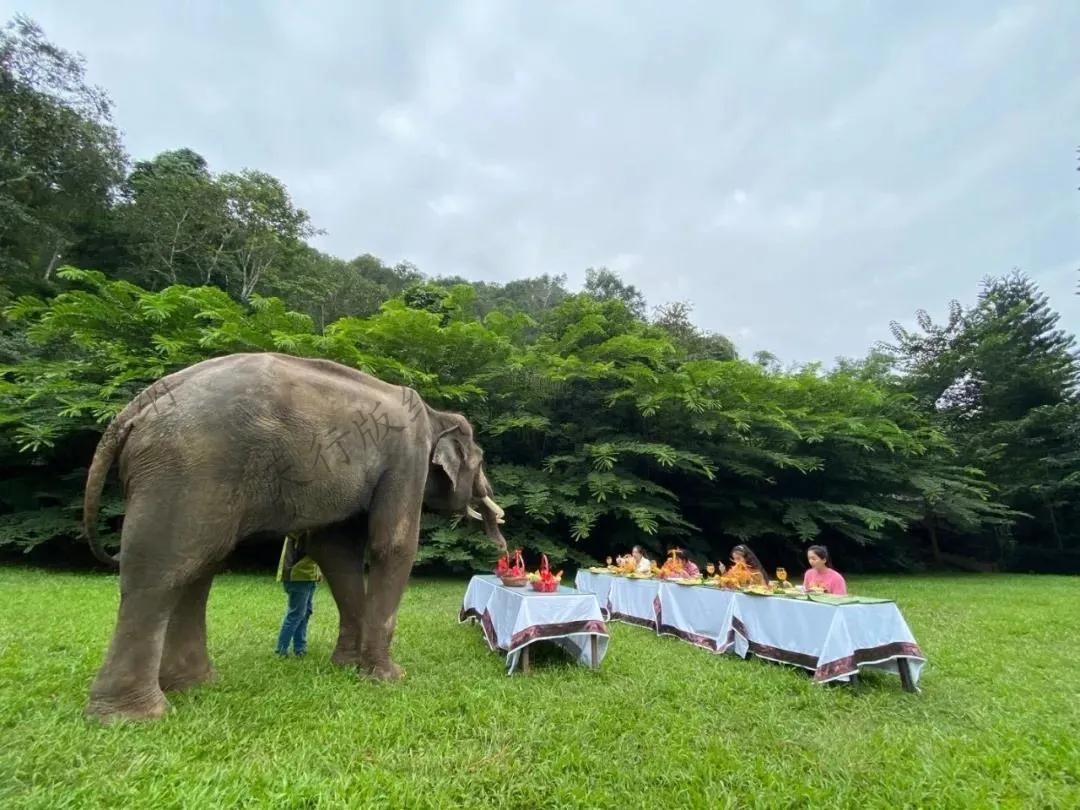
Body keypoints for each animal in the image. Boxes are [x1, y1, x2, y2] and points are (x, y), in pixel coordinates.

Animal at [80, 351, 508, 723]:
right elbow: (393, 545)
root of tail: (133, 410)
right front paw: (389, 677)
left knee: (198, 566)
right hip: (187, 470)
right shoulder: (406, 457)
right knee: (161, 570)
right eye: (481, 460)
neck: (435, 415)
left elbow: (335, 550)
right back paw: (135, 716)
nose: (503, 548)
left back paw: (194, 685)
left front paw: (347, 666)